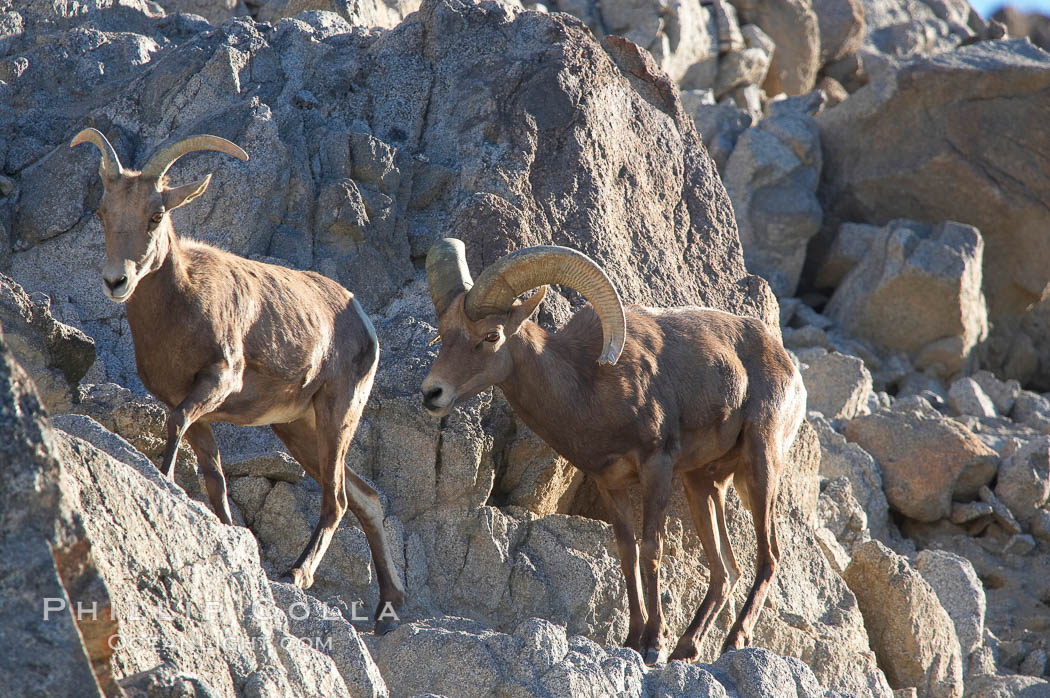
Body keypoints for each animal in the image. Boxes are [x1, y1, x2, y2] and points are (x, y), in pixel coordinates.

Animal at [70, 128, 405, 629]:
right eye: (103, 213)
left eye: (156, 215)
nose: (116, 281)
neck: (180, 305)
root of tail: (361, 320)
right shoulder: (196, 412)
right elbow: (215, 479)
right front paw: (229, 535)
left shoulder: (215, 384)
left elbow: (177, 431)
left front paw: (164, 480)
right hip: (297, 429)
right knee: (364, 498)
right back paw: (388, 607)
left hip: (337, 414)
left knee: (338, 500)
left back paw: (298, 574)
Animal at [417, 239, 802, 663]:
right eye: (443, 333)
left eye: (491, 336)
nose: (432, 393)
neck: (590, 385)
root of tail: (788, 365)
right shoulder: (610, 484)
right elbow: (627, 554)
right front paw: (632, 640)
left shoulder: (656, 468)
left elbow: (651, 549)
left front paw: (653, 644)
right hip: (703, 483)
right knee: (725, 569)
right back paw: (687, 647)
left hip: (760, 466)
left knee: (768, 556)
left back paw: (732, 641)